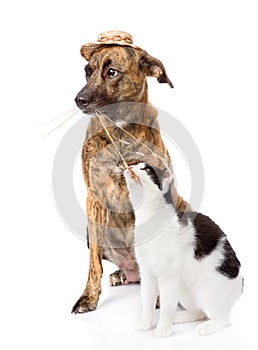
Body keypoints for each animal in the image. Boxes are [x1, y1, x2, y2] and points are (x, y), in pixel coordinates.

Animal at [71, 31, 190, 314]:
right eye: (87, 71)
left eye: (112, 71)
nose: (78, 100)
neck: (118, 129)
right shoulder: (94, 197)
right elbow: (94, 265)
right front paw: (89, 297)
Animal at [124, 163, 243, 338]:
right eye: (136, 164)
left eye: (147, 169)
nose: (130, 166)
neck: (148, 219)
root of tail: (240, 285)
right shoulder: (147, 275)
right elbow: (147, 303)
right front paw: (145, 324)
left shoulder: (168, 278)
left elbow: (166, 306)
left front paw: (163, 329)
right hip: (184, 292)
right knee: (200, 312)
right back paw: (179, 317)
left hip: (208, 293)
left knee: (222, 318)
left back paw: (206, 327)